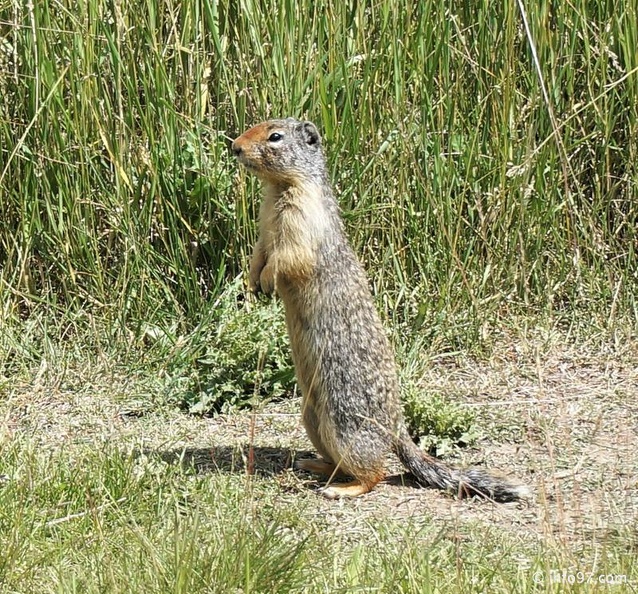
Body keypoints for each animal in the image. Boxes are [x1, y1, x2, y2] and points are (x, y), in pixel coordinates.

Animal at [232, 117, 532, 500]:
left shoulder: (302, 221)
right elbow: (258, 253)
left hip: (345, 424)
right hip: (312, 418)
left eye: (275, 136)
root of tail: (397, 429)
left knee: (375, 473)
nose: (235, 147)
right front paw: (252, 281)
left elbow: (287, 258)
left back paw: (340, 489)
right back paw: (313, 464)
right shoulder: (264, 228)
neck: (278, 190)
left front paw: (268, 281)